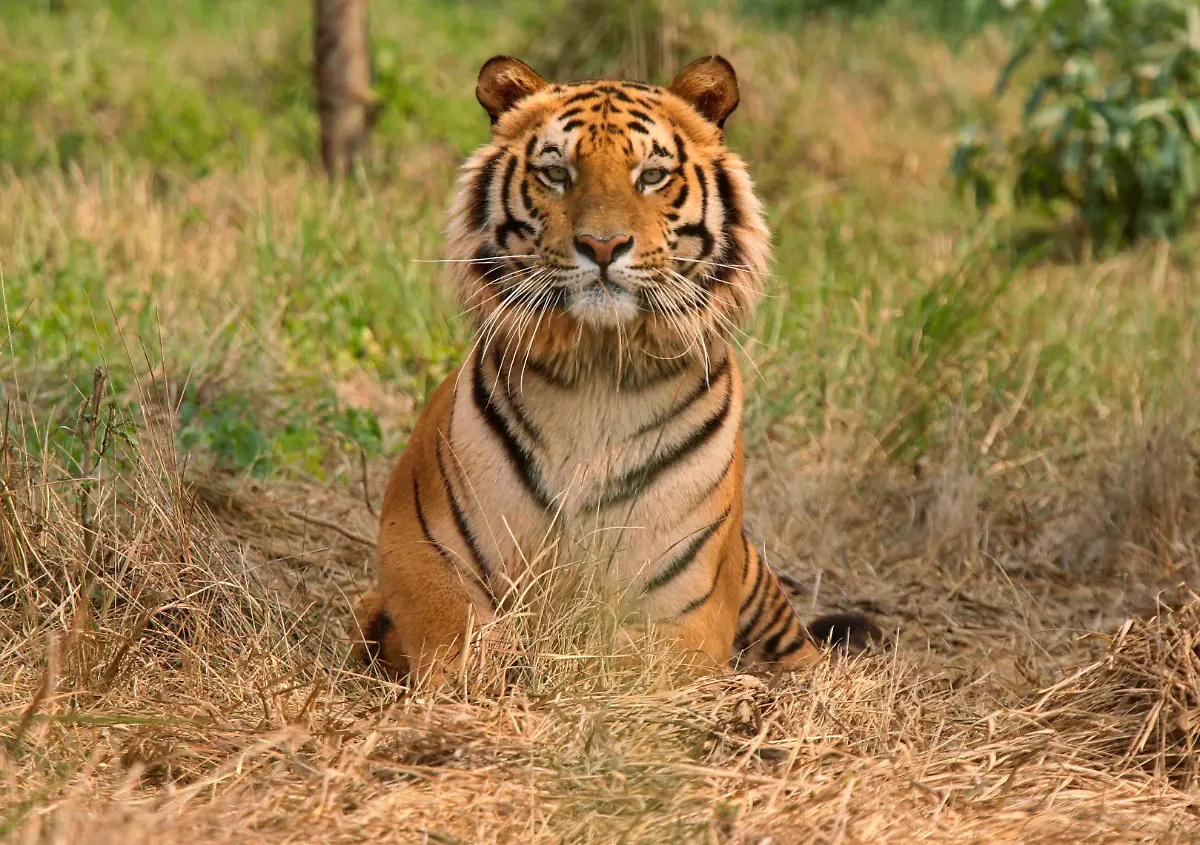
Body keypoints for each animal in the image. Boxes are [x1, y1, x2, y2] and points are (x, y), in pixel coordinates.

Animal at [353, 55, 878, 685]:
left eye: (651, 175)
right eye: (556, 173)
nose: (602, 246)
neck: (597, 373)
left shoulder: (686, 607)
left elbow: (618, 664)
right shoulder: (416, 549)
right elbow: (456, 637)